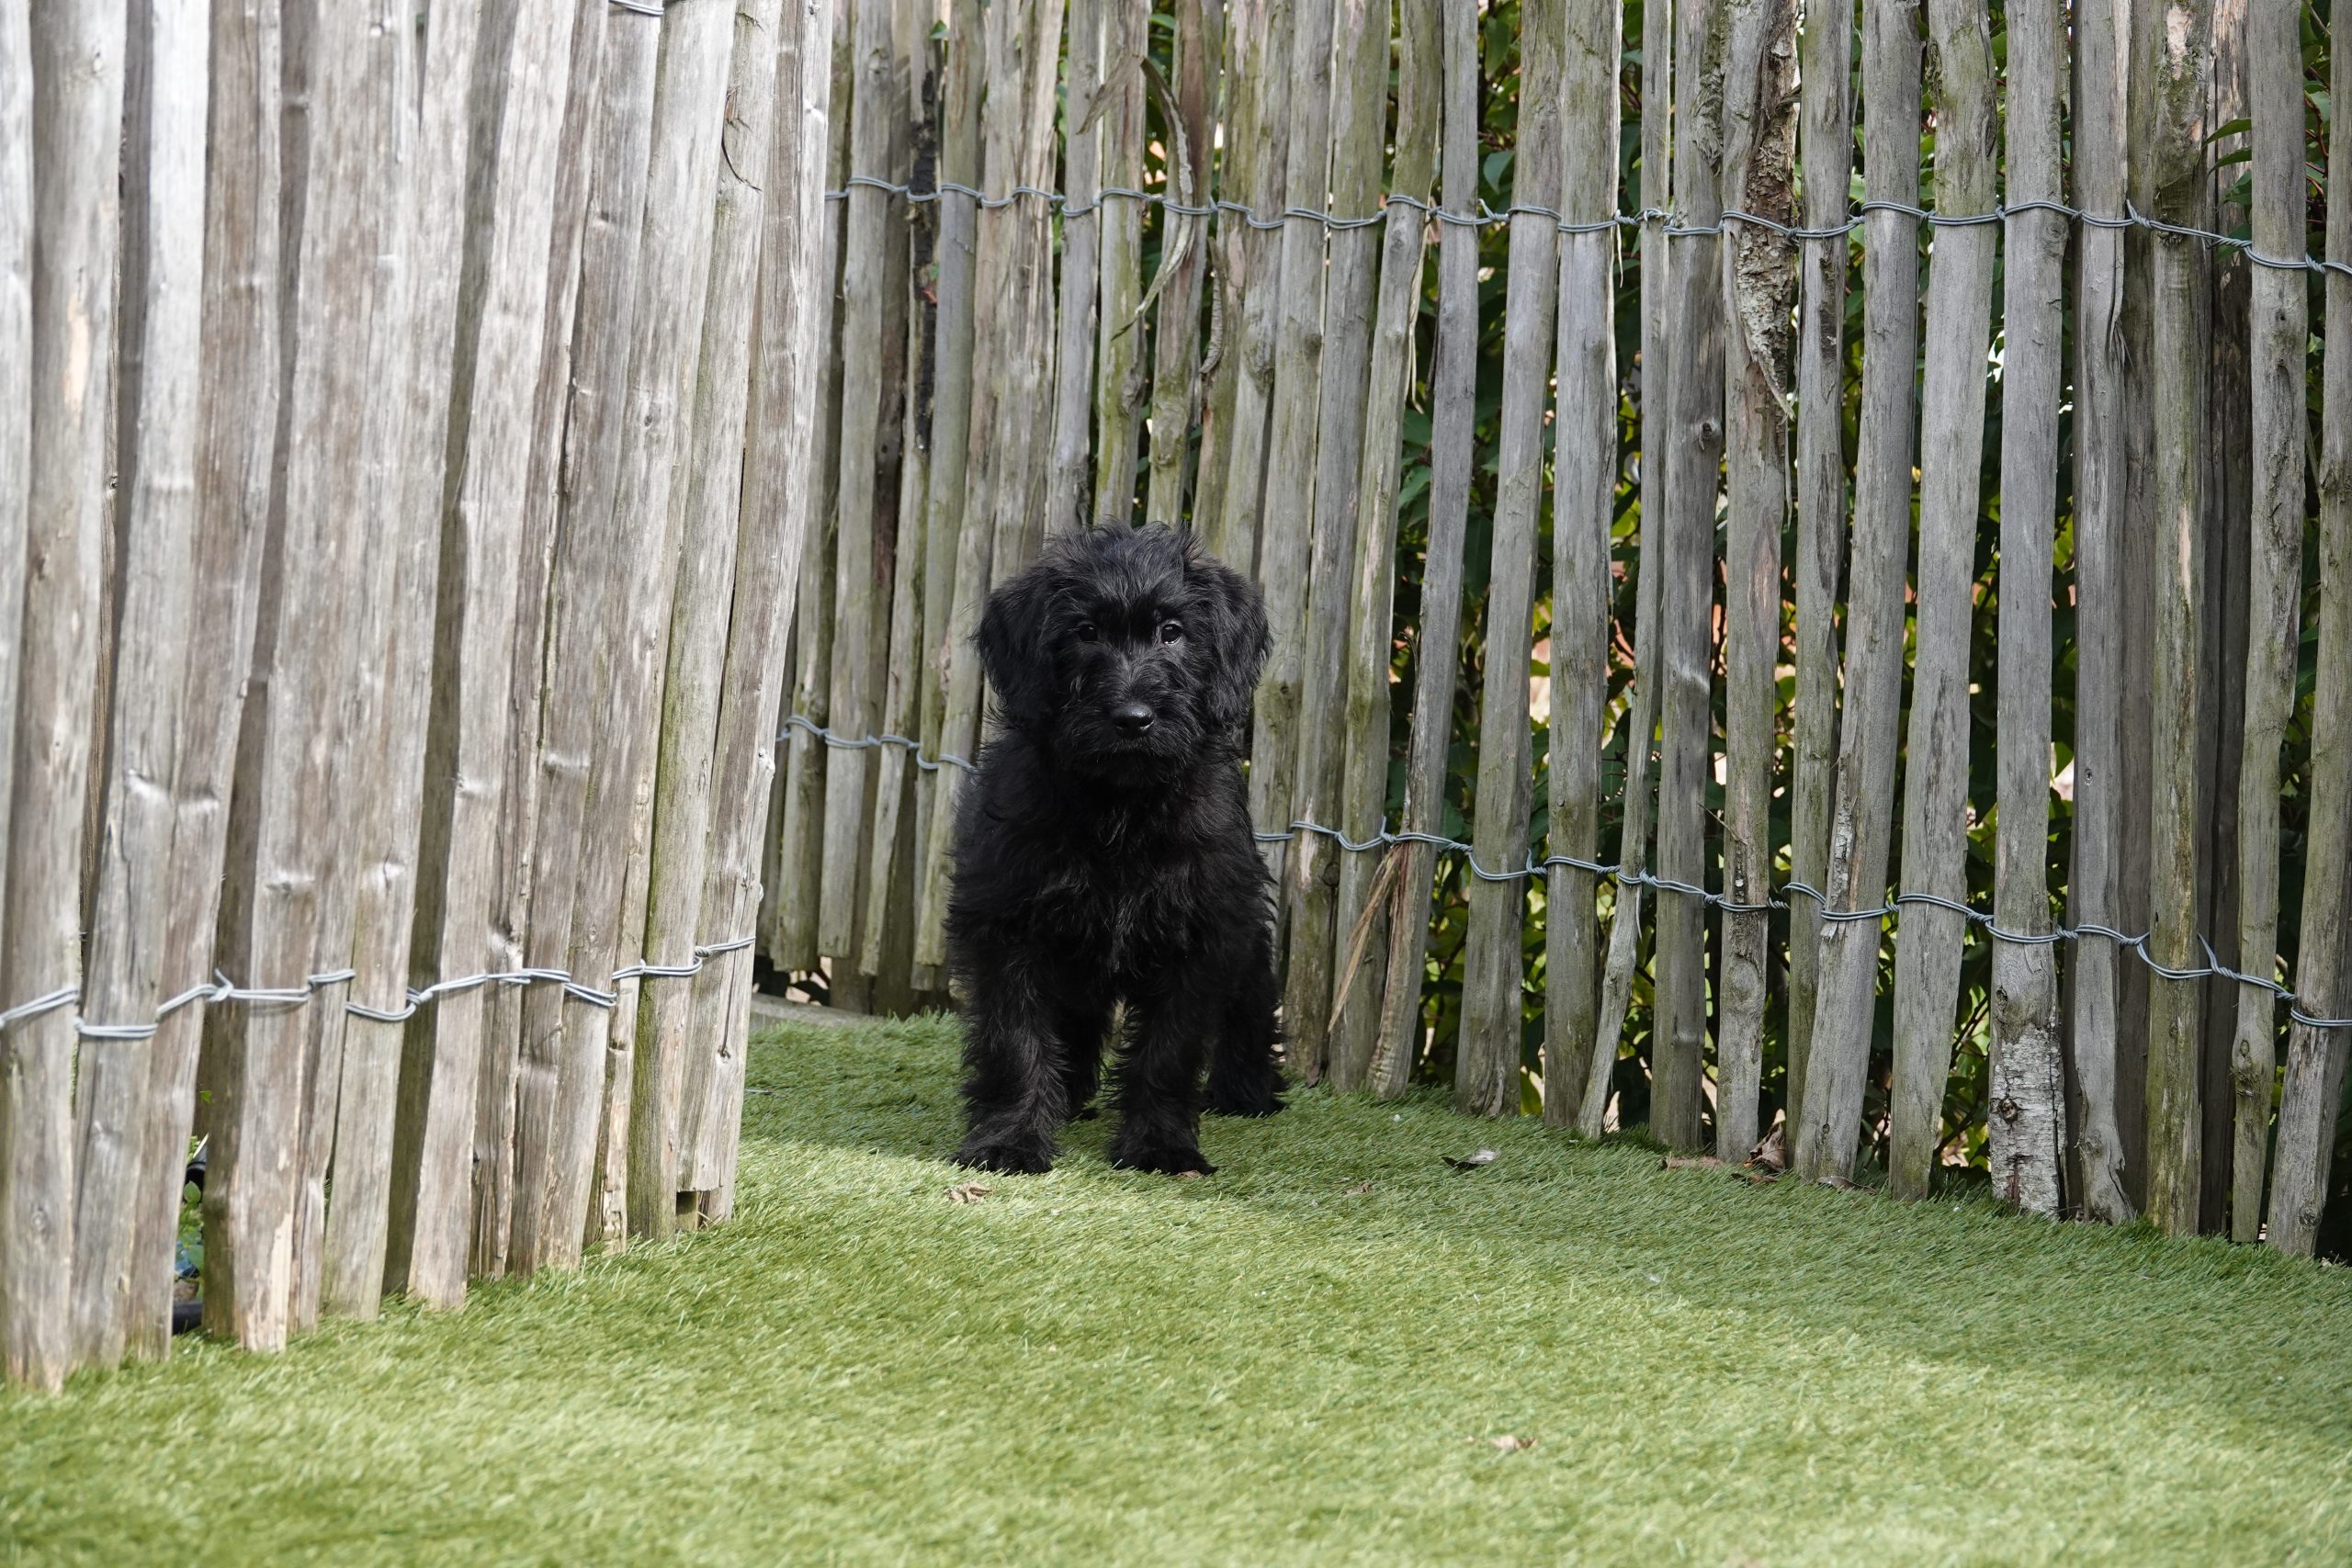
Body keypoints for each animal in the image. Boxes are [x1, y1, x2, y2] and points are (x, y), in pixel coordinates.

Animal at [944, 522, 1286, 1176]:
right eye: (1085, 632)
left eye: (1172, 632)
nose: (1133, 718)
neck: (1120, 808)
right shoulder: (1008, 926)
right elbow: (1015, 1040)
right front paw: (1009, 1139)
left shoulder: (1200, 932)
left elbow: (1169, 1050)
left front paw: (1161, 1146)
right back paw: (1069, 1094)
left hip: (1245, 923)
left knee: (1252, 999)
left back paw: (1248, 1089)